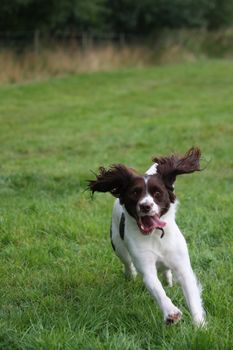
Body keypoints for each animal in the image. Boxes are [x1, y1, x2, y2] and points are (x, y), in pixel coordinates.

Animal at [87, 148, 206, 326]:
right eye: (135, 193)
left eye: (157, 193)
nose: (145, 206)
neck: (155, 235)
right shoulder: (146, 266)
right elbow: (157, 289)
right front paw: (171, 313)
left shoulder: (182, 265)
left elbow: (191, 295)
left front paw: (200, 325)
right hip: (118, 246)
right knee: (127, 263)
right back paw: (130, 276)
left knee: (166, 270)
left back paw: (168, 280)